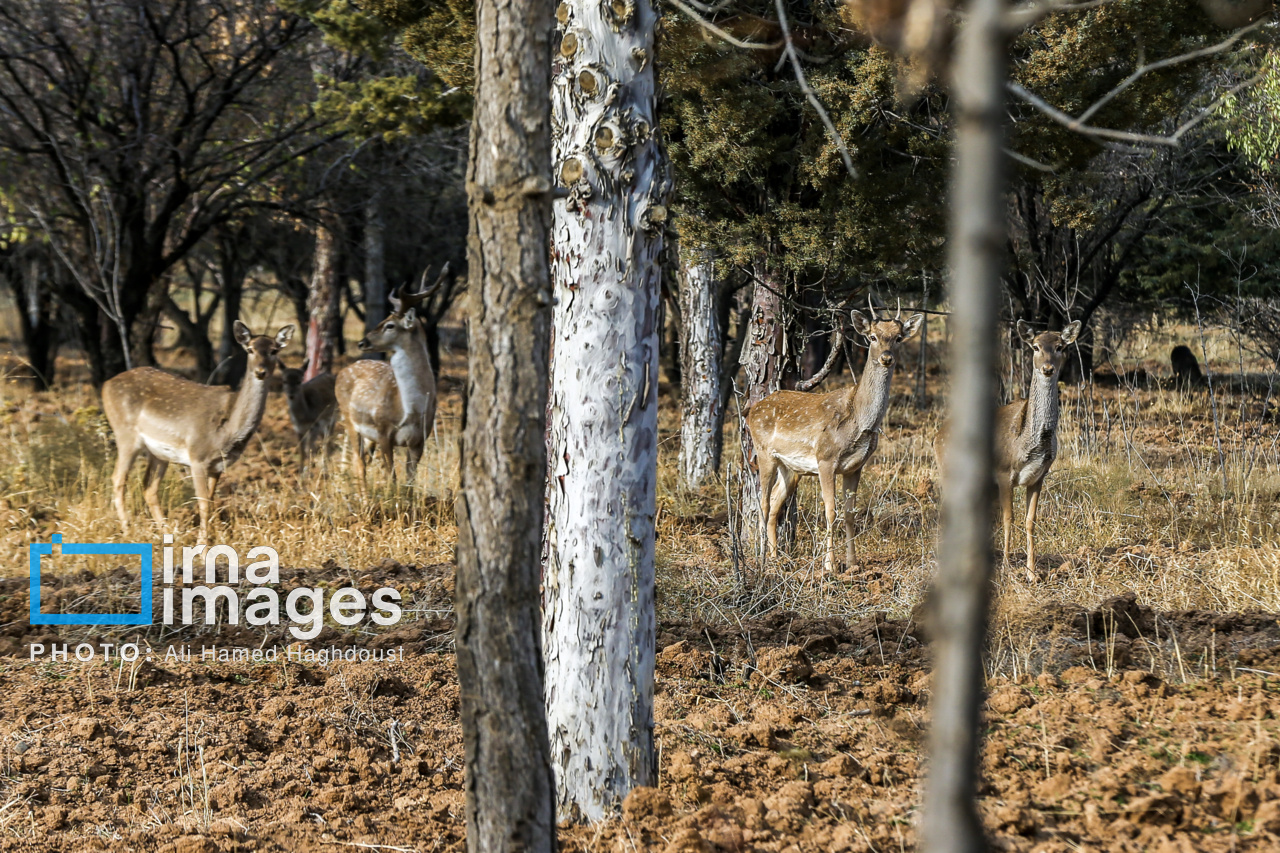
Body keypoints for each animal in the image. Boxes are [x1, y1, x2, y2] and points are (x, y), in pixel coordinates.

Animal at [103, 318, 294, 545]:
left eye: (274, 350)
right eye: (250, 349)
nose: (261, 371)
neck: (228, 432)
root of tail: (106, 385)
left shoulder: (217, 466)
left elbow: (210, 502)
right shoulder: (197, 457)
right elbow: (202, 504)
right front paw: (203, 546)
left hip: (158, 453)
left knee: (148, 488)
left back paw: (170, 534)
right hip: (125, 434)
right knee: (118, 479)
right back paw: (128, 532)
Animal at [332, 263, 448, 484]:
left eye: (390, 325)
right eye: (384, 319)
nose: (362, 342)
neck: (411, 409)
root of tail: (342, 371)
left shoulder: (420, 438)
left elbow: (410, 481)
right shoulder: (383, 430)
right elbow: (392, 478)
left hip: (367, 434)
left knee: (362, 460)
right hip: (349, 418)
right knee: (359, 463)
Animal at [747, 307, 926, 571]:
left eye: (898, 338)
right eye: (872, 337)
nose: (886, 358)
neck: (859, 420)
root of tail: (751, 410)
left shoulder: (855, 467)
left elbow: (851, 513)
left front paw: (853, 563)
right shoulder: (826, 458)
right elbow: (831, 511)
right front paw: (829, 565)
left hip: (792, 468)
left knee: (775, 504)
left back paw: (776, 557)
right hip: (764, 452)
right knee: (764, 503)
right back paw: (761, 558)